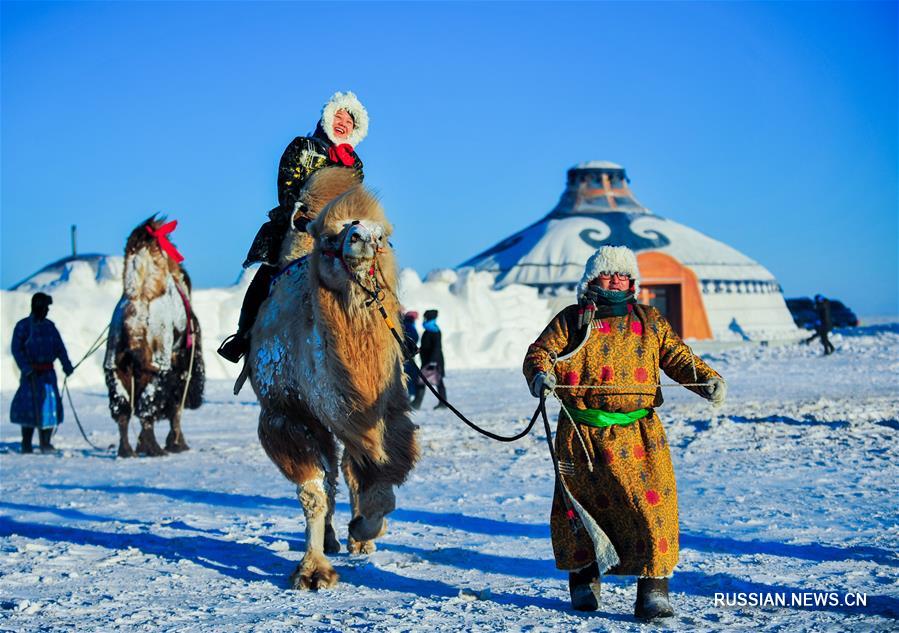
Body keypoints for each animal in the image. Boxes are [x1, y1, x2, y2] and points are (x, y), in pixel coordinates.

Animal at [103, 216, 206, 454]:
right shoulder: (179, 365)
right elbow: (175, 407)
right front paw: (177, 443)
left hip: (115, 368)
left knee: (122, 410)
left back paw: (127, 450)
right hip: (157, 367)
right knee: (148, 407)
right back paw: (154, 448)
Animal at [250, 167, 422, 588]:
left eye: (385, 236)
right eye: (332, 237)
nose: (364, 237)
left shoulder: (385, 412)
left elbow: (381, 481)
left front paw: (365, 529)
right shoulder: (286, 414)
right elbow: (313, 492)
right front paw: (313, 572)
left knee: (345, 468)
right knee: (328, 476)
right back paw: (328, 538)